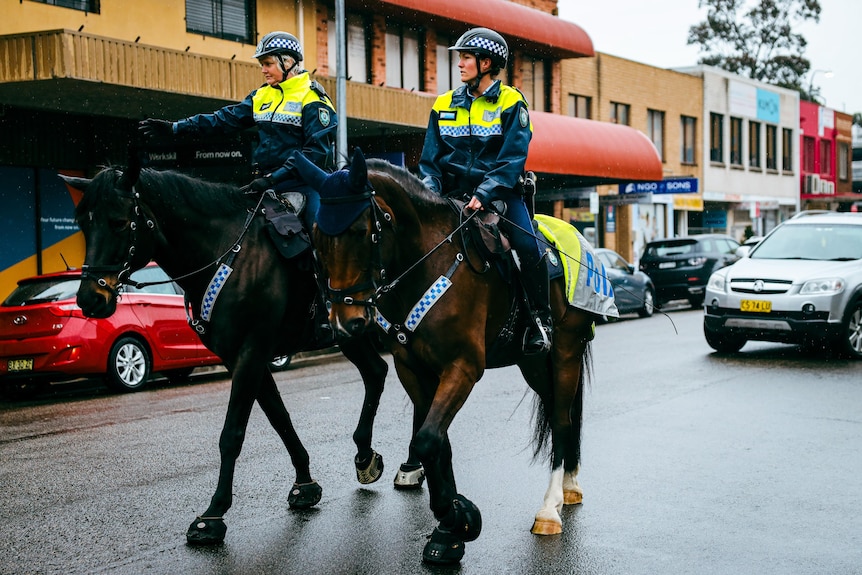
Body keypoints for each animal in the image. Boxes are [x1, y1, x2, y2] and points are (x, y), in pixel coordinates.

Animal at [66, 155, 390, 548]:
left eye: (117, 221)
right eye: (83, 224)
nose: (90, 299)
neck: (228, 254)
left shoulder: (251, 353)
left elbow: (232, 434)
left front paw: (213, 513)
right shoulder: (244, 357)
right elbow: (280, 419)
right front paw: (305, 483)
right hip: (351, 334)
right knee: (376, 372)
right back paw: (366, 455)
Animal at [296, 150, 616, 568]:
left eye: (360, 232)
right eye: (316, 236)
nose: (344, 321)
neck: (427, 264)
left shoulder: (463, 367)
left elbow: (428, 440)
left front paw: (456, 520)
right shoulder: (412, 368)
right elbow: (435, 442)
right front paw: (450, 527)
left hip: (566, 349)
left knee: (562, 420)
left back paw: (550, 509)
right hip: (532, 363)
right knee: (559, 414)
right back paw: (570, 485)